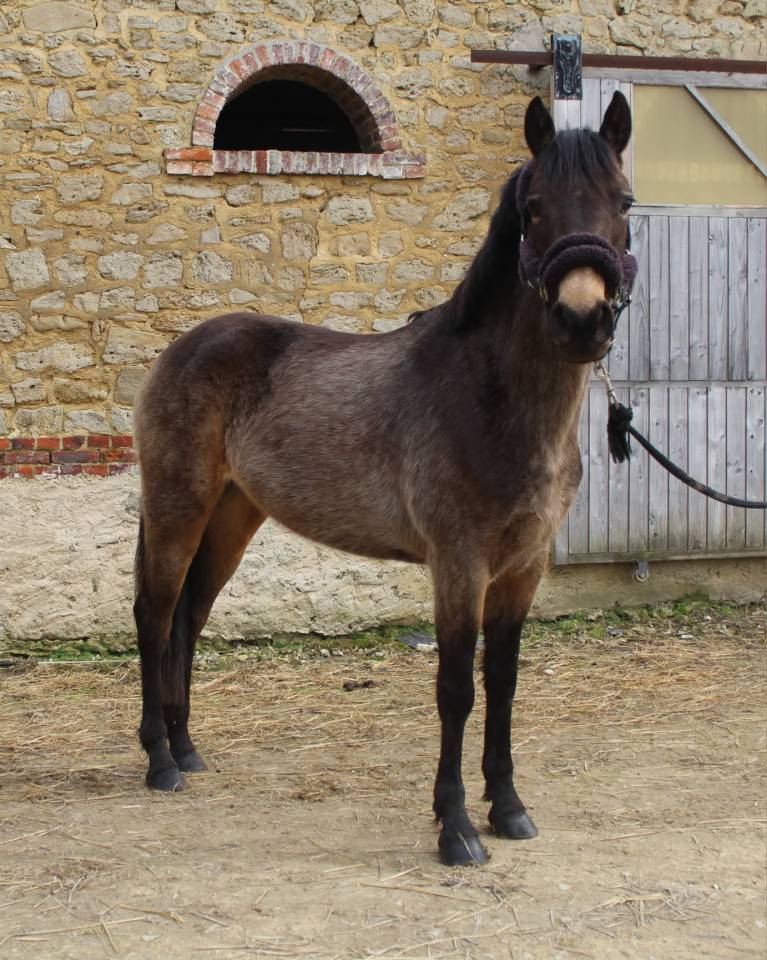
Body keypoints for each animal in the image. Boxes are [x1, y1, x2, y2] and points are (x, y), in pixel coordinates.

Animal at [133, 92, 635, 866]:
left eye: (623, 201)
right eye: (535, 209)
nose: (581, 320)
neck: (489, 397)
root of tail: (182, 349)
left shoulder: (524, 567)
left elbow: (503, 682)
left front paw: (508, 808)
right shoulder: (459, 565)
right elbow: (455, 688)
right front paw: (456, 828)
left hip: (232, 516)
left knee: (189, 616)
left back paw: (187, 749)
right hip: (176, 509)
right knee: (155, 616)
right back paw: (160, 761)